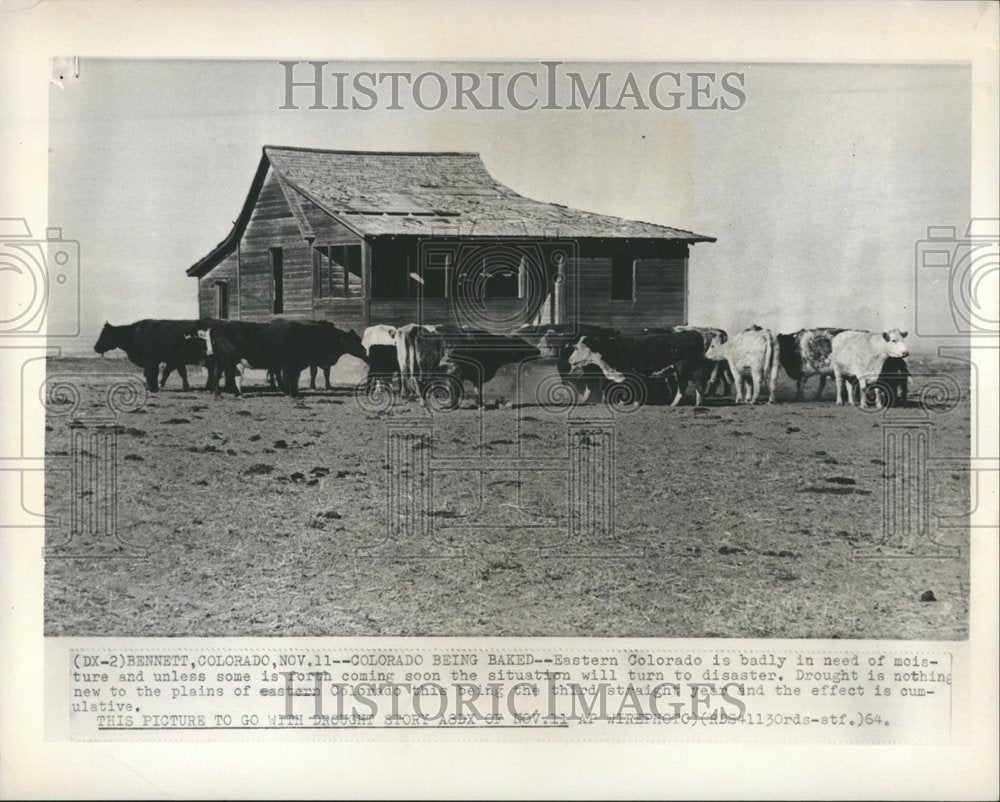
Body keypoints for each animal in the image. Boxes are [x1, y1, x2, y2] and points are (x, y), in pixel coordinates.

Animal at [568, 326, 708, 404]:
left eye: (578, 348)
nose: (569, 360)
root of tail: (694, 333)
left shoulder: (630, 374)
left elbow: (632, 390)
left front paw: (634, 403)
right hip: (695, 368)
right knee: (698, 383)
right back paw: (698, 404)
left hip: (681, 367)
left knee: (683, 386)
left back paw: (673, 404)